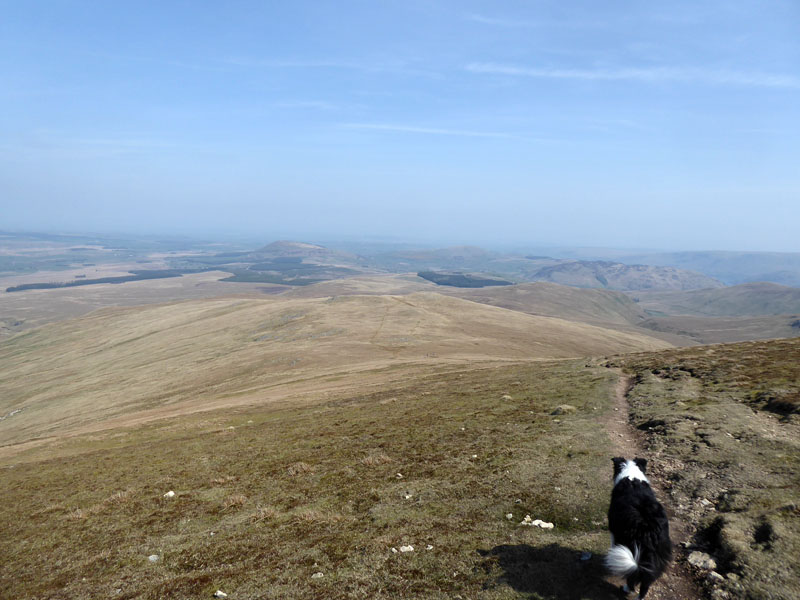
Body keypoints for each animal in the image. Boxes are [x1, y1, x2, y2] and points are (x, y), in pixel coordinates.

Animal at [608, 458, 676, 596]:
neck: (631, 477)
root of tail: (649, 530)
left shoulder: (613, 531)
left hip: (631, 546)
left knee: (633, 576)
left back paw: (626, 588)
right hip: (659, 553)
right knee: (646, 583)